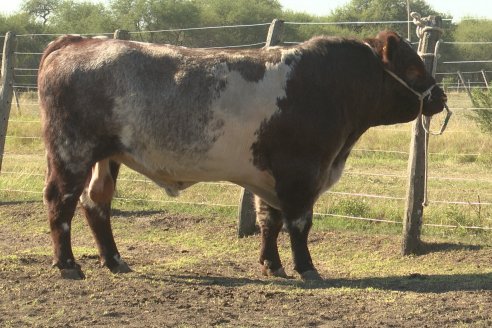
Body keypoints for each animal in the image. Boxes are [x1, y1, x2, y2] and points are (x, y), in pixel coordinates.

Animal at [37, 30, 446, 280]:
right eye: (413, 67)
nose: (440, 96)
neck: (331, 85)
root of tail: (76, 42)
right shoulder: (301, 171)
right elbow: (299, 224)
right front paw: (306, 268)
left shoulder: (271, 177)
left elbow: (270, 221)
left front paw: (272, 265)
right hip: (71, 152)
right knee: (61, 202)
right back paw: (67, 265)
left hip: (107, 157)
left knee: (96, 203)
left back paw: (115, 260)